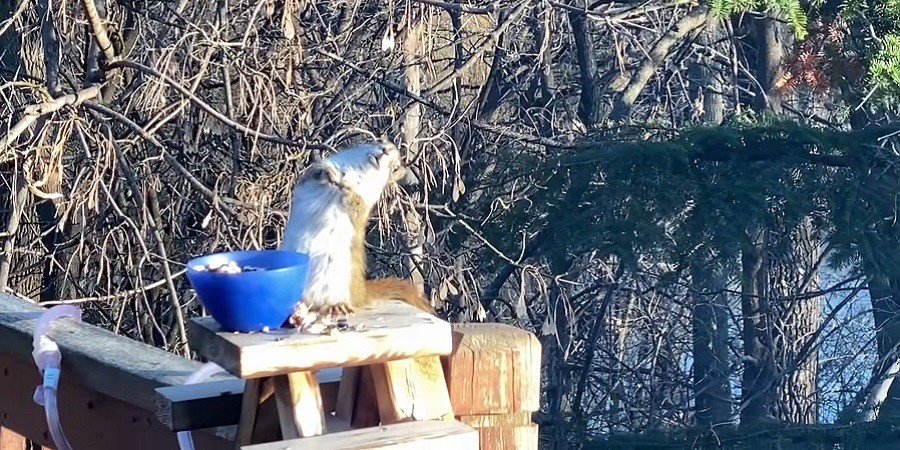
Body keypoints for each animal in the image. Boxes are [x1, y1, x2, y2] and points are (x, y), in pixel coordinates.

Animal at [282, 139, 436, 318]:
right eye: (380, 141)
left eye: (396, 167)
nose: (384, 151)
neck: (358, 171)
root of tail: (359, 293)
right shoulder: (316, 173)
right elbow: (316, 173)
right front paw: (329, 174)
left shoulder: (365, 201)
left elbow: (355, 204)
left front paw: (347, 188)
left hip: (334, 282)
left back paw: (336, 307)